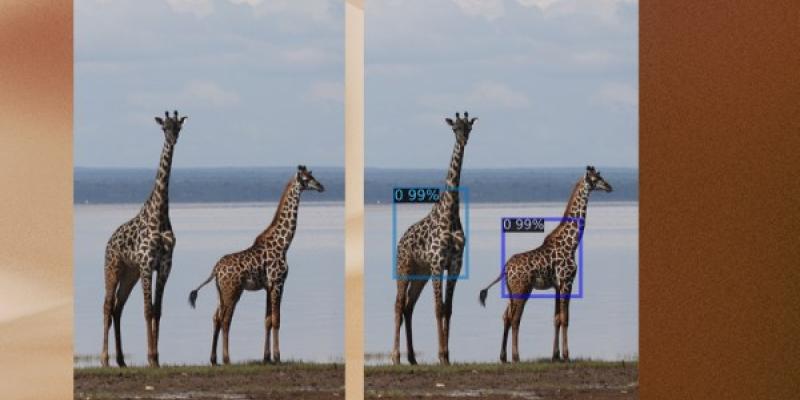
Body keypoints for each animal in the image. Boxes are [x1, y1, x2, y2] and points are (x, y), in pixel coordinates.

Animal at [100, 110, 187, 368]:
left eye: (178, 127)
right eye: (163, 128)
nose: (172, 140)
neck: (159, 214)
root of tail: (109, 242)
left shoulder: (165, 265)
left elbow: (157, 310)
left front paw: (156, 358)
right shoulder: (148, 264)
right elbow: (148, 310)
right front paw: (150, 357)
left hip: (130, 274)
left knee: (118, 307)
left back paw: (121, 360)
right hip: (113, 268)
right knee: (107, 306)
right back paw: (105, 359)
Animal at [188, 165, 324, 365]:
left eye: (312, 175)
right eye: (307, 179)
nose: (321, 186)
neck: (283, 244)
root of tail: (215, 270)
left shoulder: (268, 286)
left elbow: (267, 320)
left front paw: (266, 357)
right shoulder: (278, 283)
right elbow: (276, 319)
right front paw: (277, 356)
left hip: (220, 292)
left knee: (216, 318)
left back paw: (213, 359)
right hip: (233, 291)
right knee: (226, 320)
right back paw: (227, 358)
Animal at [391, 112, 477, 366]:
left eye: (469, 127)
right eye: (454, 128)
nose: (463, 140)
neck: (450, 213)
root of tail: (400, 241)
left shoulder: (455, 265)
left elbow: (448, 308)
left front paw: (447, 356)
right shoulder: (438, 264)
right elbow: (438, 308)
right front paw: (440, 355)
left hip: (421, 274)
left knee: (409, 306)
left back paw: (412, 358)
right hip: (404, 269)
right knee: (398, 305)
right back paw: (396, 357)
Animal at [478, 166, 612, 363]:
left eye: (601, 176)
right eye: (596, 179)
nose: (609, 186)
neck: (572, 244)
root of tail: (505, 269)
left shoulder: (557, 285)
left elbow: (556, 318)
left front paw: (555, 355)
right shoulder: (567, 282)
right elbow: (565, 318)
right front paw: (566, 355)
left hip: (512, 291)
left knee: (506, 316)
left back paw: (503, 356)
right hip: (522, 289)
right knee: (515, 318)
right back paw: (516, 356)